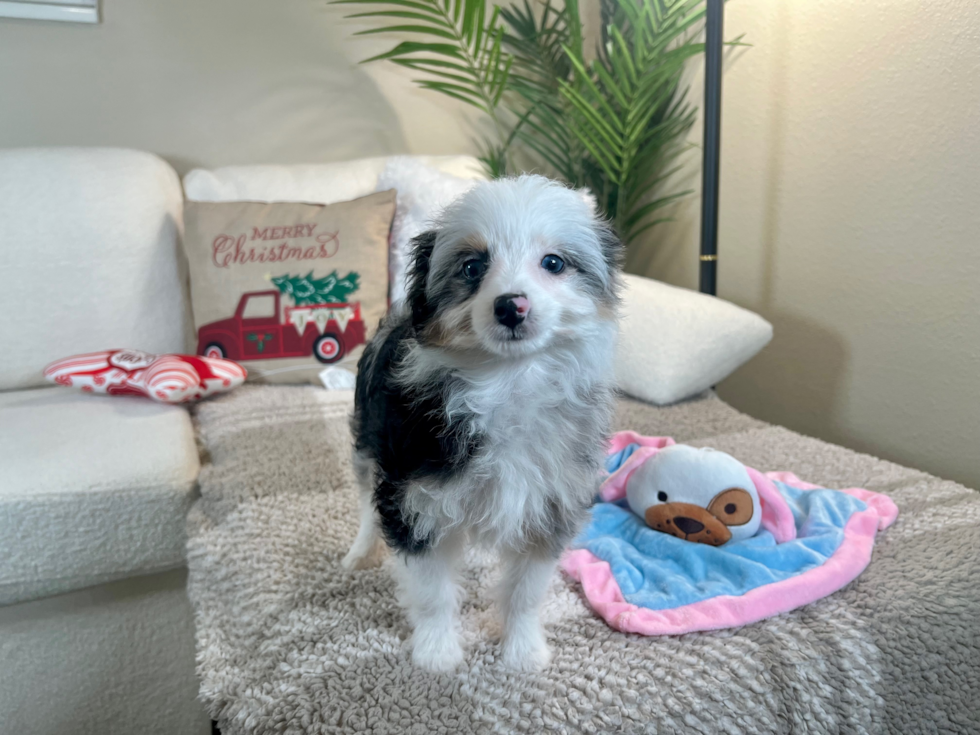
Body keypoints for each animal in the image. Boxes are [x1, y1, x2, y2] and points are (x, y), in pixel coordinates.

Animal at [344, 174, 620, 672]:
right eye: (473, 267)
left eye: (554, 263)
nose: (511, 306)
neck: (508, 381)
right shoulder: (413, 496)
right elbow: (432, 591)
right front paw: (436, 655)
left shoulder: (552, 503)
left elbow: (525, 592)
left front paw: (522, 652)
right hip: (367, 446)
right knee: (365, 505)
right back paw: (359, 553)